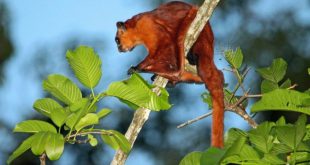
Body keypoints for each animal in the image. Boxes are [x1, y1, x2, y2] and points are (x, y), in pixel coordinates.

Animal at [115, 0, 224, 148]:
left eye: (117, 40)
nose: (118, 48)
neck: (137, 26)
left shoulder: (149, 27)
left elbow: (165, 45)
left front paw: (138, 67)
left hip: (199, 30)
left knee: (180, 59)